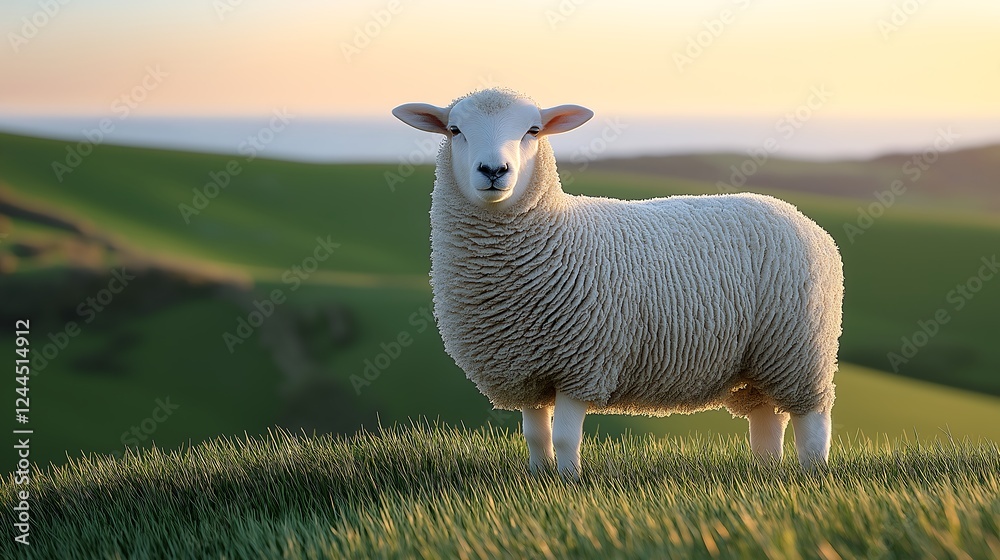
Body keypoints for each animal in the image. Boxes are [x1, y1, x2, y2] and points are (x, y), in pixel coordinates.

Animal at [392, 87, 844, 476]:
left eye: (533, 130)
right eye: (454, 130)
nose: (493, 170)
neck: (556, 234)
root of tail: (802, 218)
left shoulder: (581, 363)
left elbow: (565, 436)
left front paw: (568, 482)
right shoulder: (526, 369)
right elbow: (536, 436)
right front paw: (539, 478)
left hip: (801, 347)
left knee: (813, 421)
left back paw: (812, 472)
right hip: (758, 360)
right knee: (767, 418)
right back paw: (765, 470)